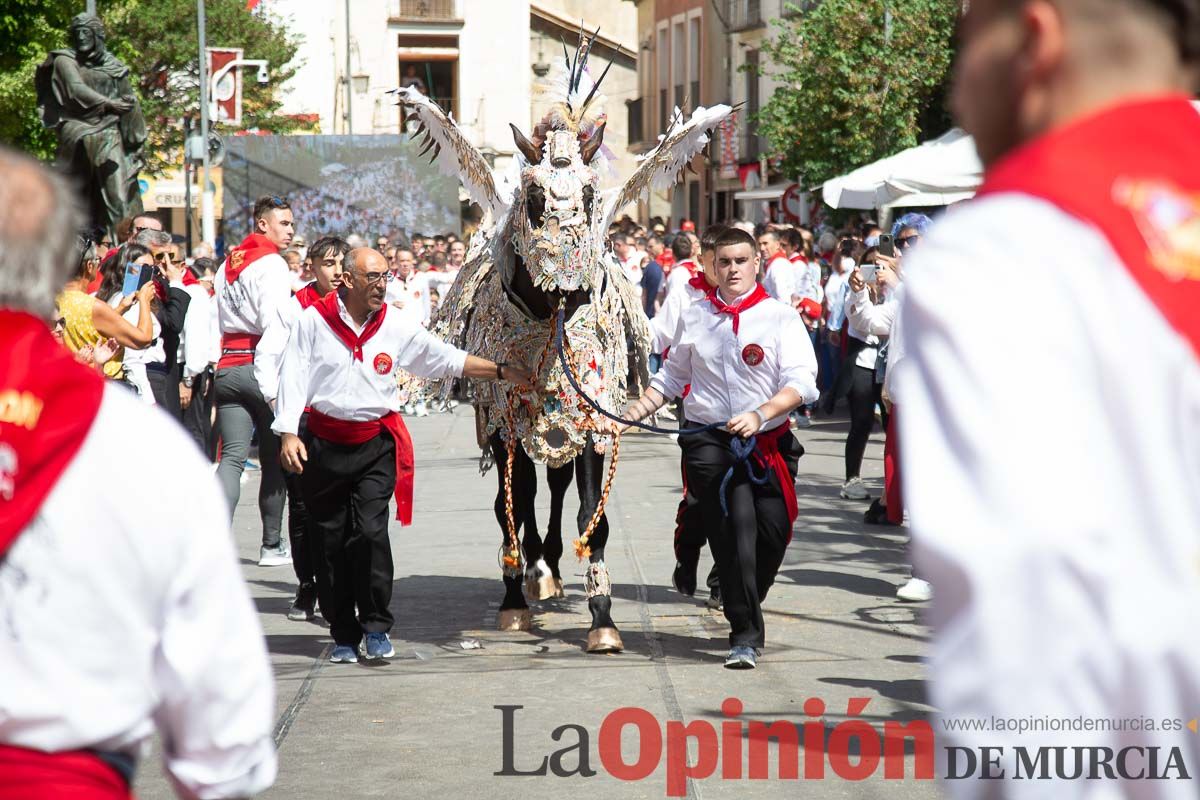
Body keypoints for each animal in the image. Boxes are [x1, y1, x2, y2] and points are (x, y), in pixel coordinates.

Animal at [396, 34, 729, 652]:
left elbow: (589, 519)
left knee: (552, 487)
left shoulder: (592, 418)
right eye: (531, 197)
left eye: (594, 195)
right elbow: (511, 507)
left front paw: (602, 618)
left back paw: (548, 567)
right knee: (528, 494)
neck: (548, 325)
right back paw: (533, 572)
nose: (570, 279)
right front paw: (514, 600)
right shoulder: (504, 420)